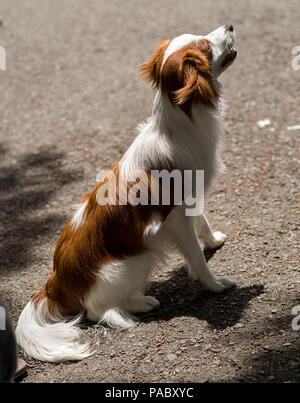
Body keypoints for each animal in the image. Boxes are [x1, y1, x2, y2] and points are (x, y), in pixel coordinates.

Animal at [15, 24, 237, 362]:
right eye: (206, 45)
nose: (229, 25)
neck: (180, 125)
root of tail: (55, 285)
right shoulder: (175, 218)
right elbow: (196, 256)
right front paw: (214, 284)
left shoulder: (190, 196)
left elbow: (203, 222)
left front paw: (213, 241)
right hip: (137, 259)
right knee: (97, 310)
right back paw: (140, 303)